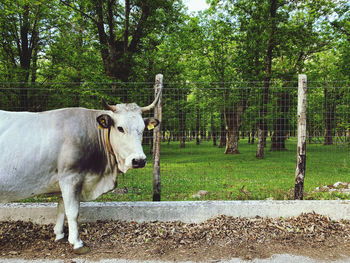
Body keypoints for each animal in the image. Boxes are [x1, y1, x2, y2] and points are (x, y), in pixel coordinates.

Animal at [0, 94, 161, 255]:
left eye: (143, 129)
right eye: (120, 128)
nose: (139, 160)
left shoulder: (64, 180)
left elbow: (61, 208)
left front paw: (60, 235)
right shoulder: (70, 177)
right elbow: (72, 212)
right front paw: (77, 243)